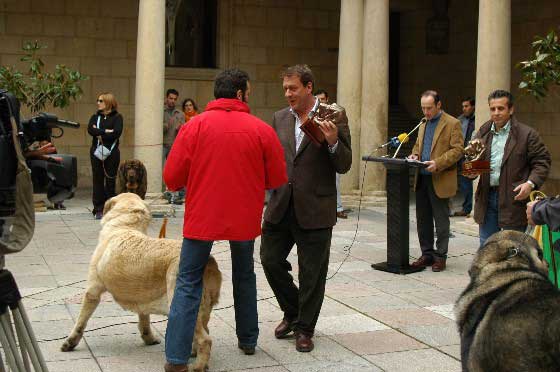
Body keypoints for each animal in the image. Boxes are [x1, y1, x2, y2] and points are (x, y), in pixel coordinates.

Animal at [60, 193, 220, 370]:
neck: (124, 225)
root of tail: (209, 261)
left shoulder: (92, 291)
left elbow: (81, 322)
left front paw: (70, 342)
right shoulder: (143, 297)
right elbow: (144, 319)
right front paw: (148, 338)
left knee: (205, 340)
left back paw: (197, 366)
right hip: (204, 309)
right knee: (204, 333)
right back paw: (192, 354)